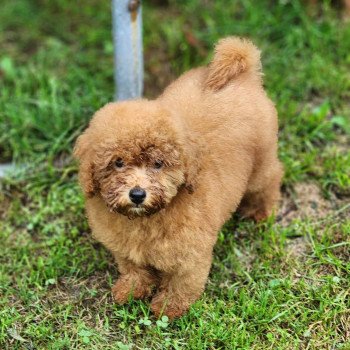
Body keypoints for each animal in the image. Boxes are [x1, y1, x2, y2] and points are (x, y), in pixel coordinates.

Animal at [74, 37, 284, 318]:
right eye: (118, 163)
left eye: (158, 164)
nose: (137, 194)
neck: (146, 219)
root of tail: (242, 72)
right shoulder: (124, 245)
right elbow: (132, 267)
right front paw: (131, 289)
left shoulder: (190, 254)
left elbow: (182, 282)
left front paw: (168, 307)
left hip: (261, 160)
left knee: (270, 179)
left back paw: (261, 211)